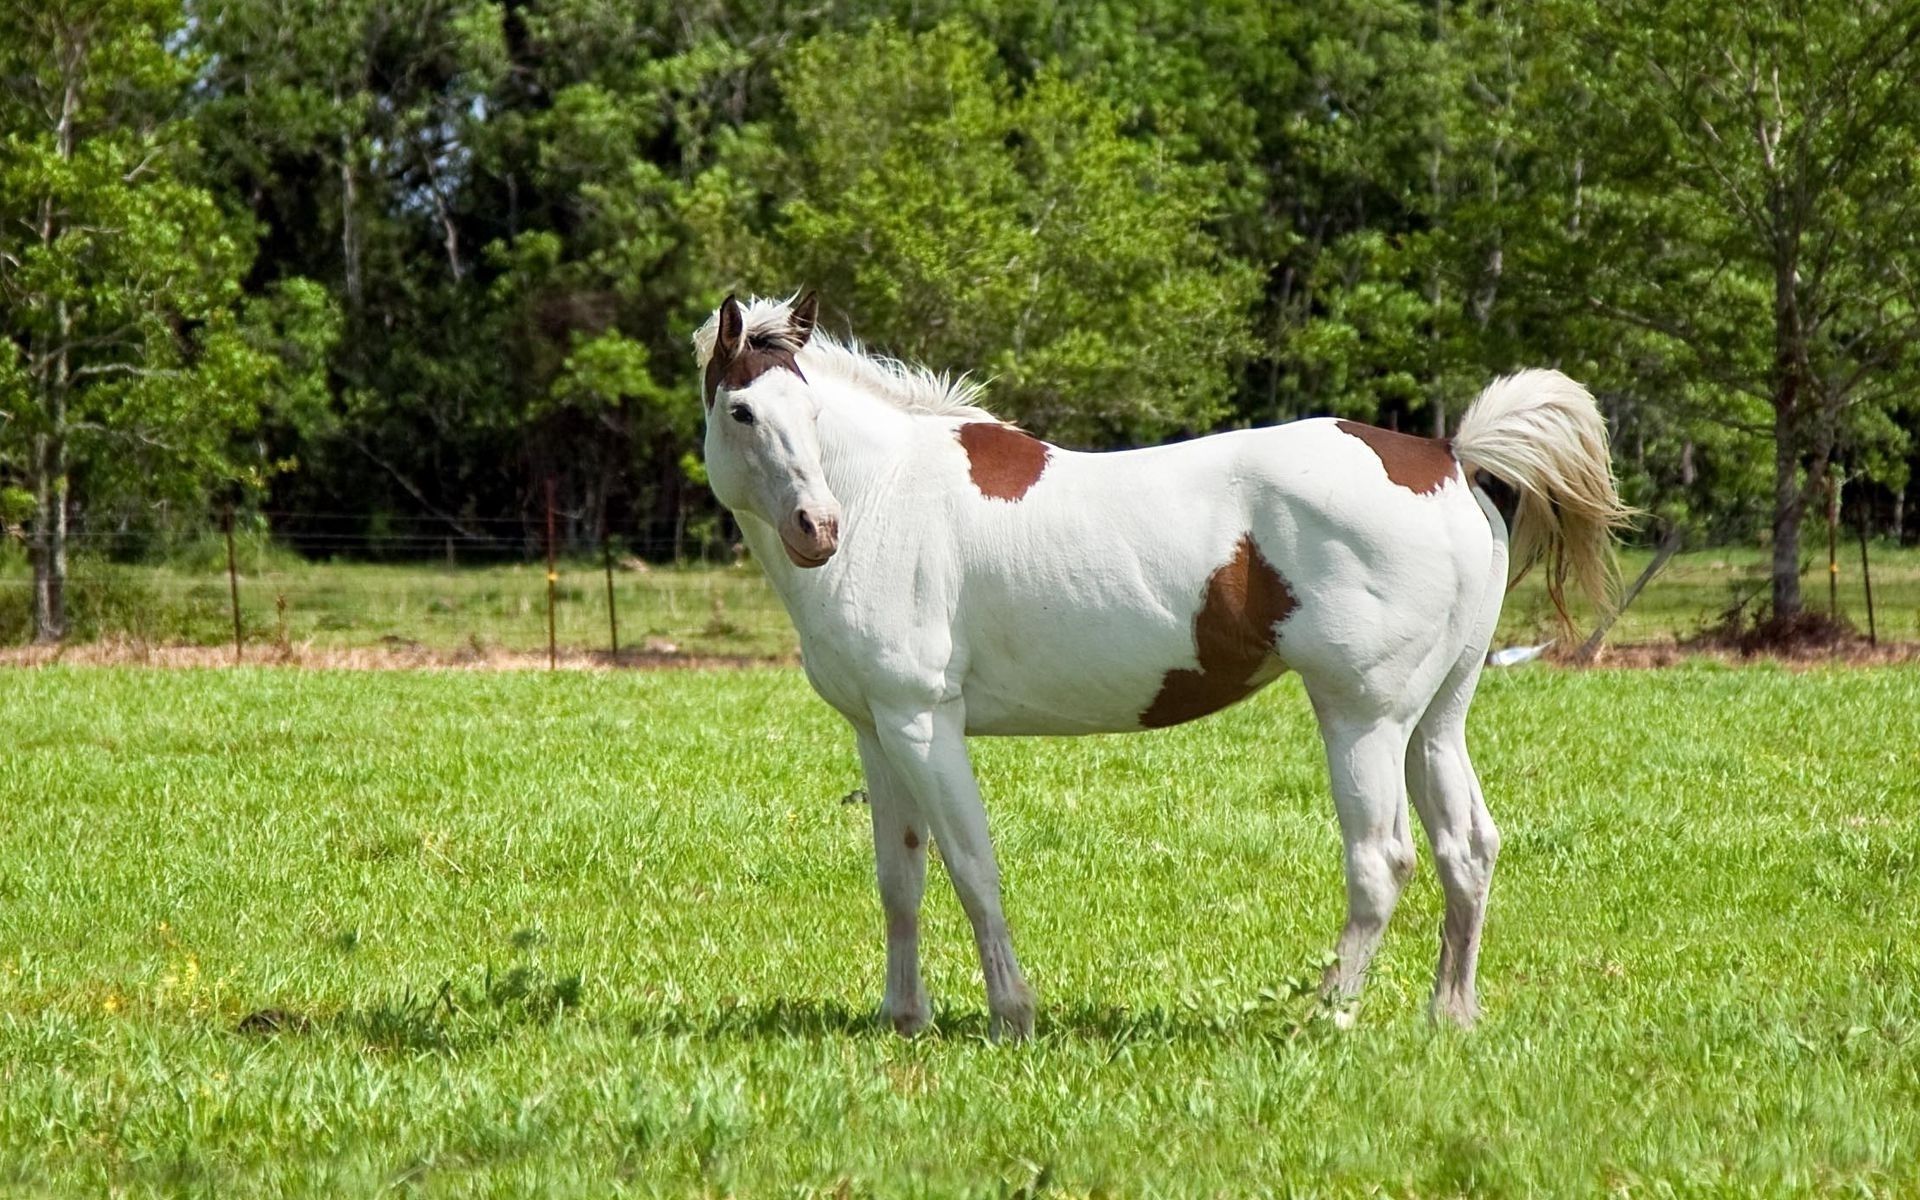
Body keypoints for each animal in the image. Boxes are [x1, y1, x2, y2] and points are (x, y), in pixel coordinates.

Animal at [698, 291, 1628, 1036]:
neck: (889, 493)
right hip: (1435, 720)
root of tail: (1445, 457)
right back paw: (1450, 1015)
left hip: (1363, 717)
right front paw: (905, 1018)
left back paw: (1325, 1015)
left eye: (811, 413)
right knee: (1466, 850)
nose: (818, 528)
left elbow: (971, 867)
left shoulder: (925, 723)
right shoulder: (877, 729)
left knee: (1382, 862)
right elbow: (902, 878)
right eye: (743, 410)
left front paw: (1011, 1016)